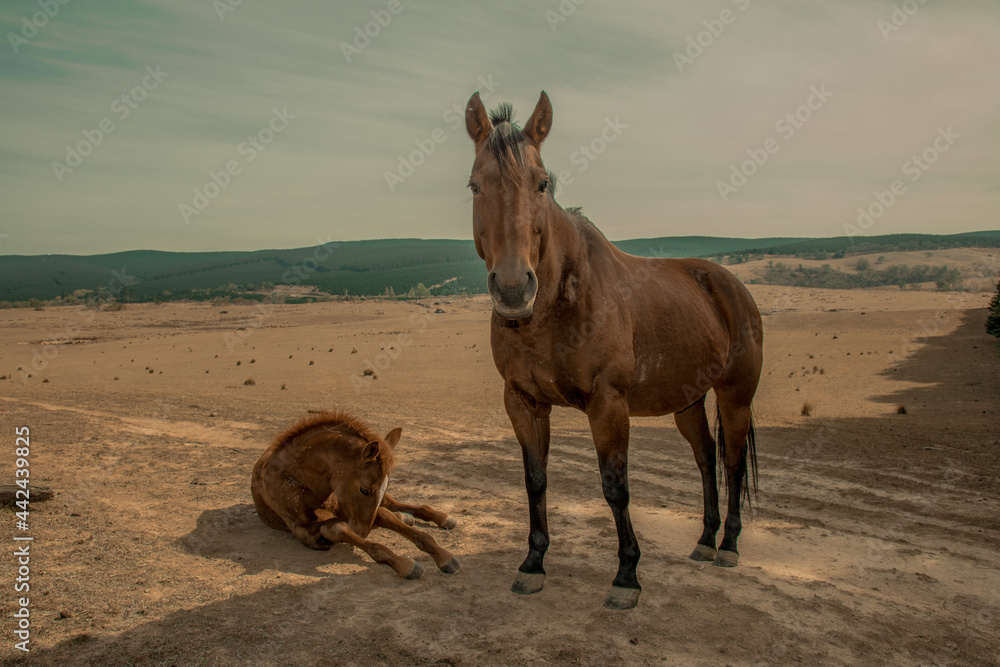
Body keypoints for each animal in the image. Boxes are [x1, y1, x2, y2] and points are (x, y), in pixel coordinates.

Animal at [254, 412, 464, 580]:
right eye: (364, 489)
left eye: (385, 486)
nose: (361, 532)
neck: (293, 478)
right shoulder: (302, 530)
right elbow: (337, 529)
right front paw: (406, 565)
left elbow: (402, 525)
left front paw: (444, 557)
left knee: (400, 507)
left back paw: (441, 517)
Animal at [464, 92, 760, 612]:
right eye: (475, 185)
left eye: (542, 183)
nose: (514, 288)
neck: (553, 307)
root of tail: (729, 283)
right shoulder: (522, 401)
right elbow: (535, 480)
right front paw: (533, 563)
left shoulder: (608, 403)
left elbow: (615, 487)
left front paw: (627, 576)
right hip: (688, 402)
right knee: (706, 458)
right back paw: (705, 541)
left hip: (735, 397)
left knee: (732, 461)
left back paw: (727, 546)